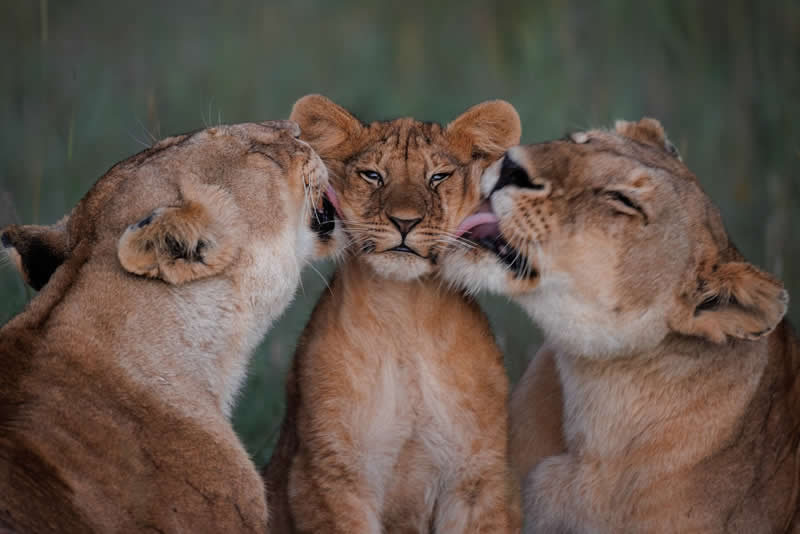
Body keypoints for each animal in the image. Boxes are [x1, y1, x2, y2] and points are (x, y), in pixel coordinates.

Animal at [262, 95, 522, 533]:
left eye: (437, 177)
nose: (404, 221)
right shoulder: (329, 476)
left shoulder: (478, 479)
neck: (405, 315)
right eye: (372, 175)